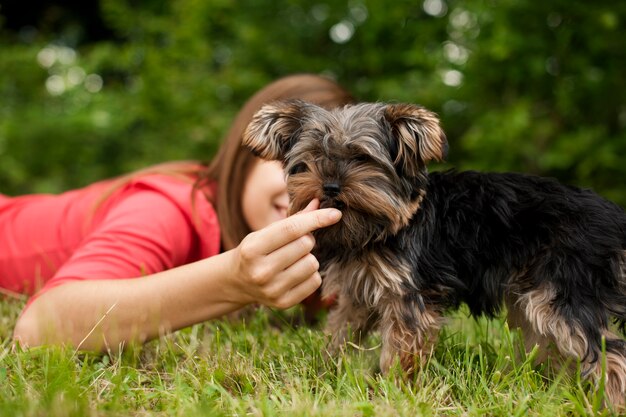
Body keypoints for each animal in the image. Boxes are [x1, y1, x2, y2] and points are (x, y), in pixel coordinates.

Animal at [241, 98, 624, 406]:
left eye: (361, 158)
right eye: (313, 160)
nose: (330, 187)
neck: (378, 228)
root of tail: (613, 217)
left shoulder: (408, 295)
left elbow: (401, 349)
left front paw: (394, 393)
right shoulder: (357, 292)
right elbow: (341, 332)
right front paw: (327, 373)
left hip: (564, 287)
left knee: (607, 350)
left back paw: (609, 402)